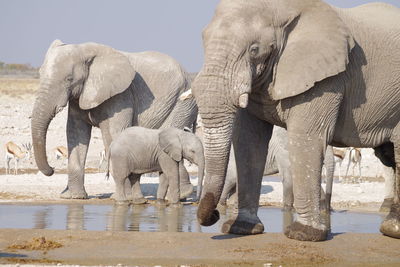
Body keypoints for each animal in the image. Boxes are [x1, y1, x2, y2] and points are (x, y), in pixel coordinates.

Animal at [32, 40, 198, 200]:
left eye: (69, 79)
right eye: (39, 74)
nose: (52, 169)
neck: (85, 50)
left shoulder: (121, 95)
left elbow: (113, 135)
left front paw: (123, 198)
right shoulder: (79, 96)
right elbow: (75, 134)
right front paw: (73, 197)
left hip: (181, 103)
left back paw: (182, 195)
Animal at [191, 0, 400, 243]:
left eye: (254, 49)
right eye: (203, 40)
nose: (214, 215)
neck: (283, 8)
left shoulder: (326, 78)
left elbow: (306, 137)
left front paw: (304, 234)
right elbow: (249, 140)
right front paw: (241, 228)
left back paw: (392, 230)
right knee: (389, 155)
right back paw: (392, 229)